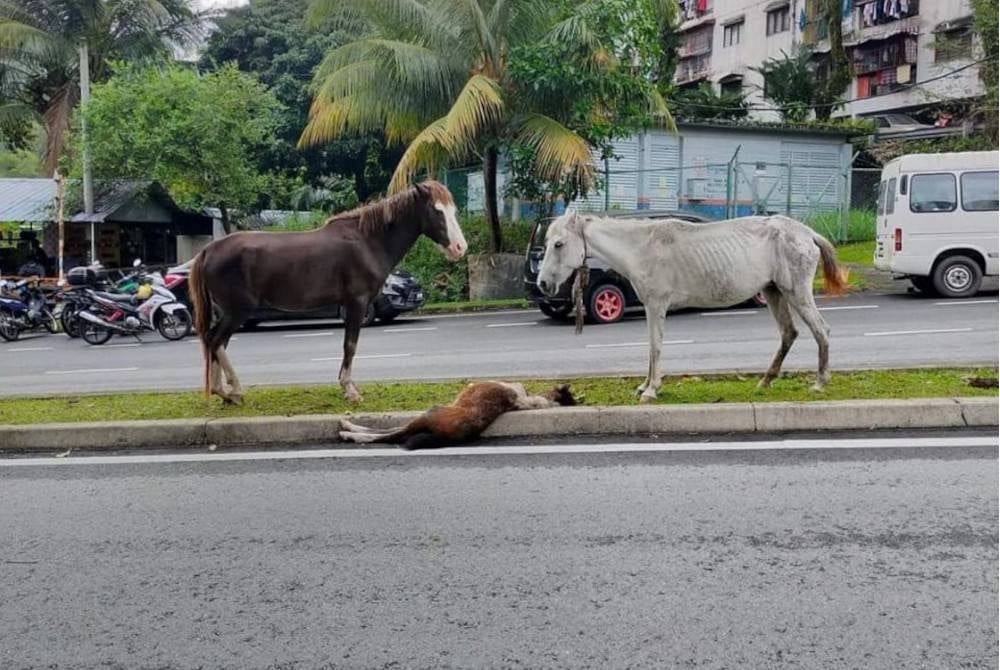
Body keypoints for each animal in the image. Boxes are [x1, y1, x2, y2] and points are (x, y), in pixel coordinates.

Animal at [189, 181, 466, 404]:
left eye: (452, 210)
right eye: (436, 210)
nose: (459, 248)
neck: (367, 241)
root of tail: (208, 251)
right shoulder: (356, 303)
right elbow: (350, 345)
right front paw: (349, 389)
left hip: (229, 312)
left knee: (216, 342)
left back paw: (224, 392)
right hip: (238, 311)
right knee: (215, 340)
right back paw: (233, 390)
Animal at [536, 213, 848, 402]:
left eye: (559, 244)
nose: (542, 283)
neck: (641, 248)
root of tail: (807, 233)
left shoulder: (657, 305)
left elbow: (655, 347)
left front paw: (651, 390)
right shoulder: (651, 308)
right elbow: (650, 348)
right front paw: (645, 385)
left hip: (796, 292)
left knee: (821, 330)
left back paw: (820, 382)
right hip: (774, 292)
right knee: (788, 334)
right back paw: (765, 381)